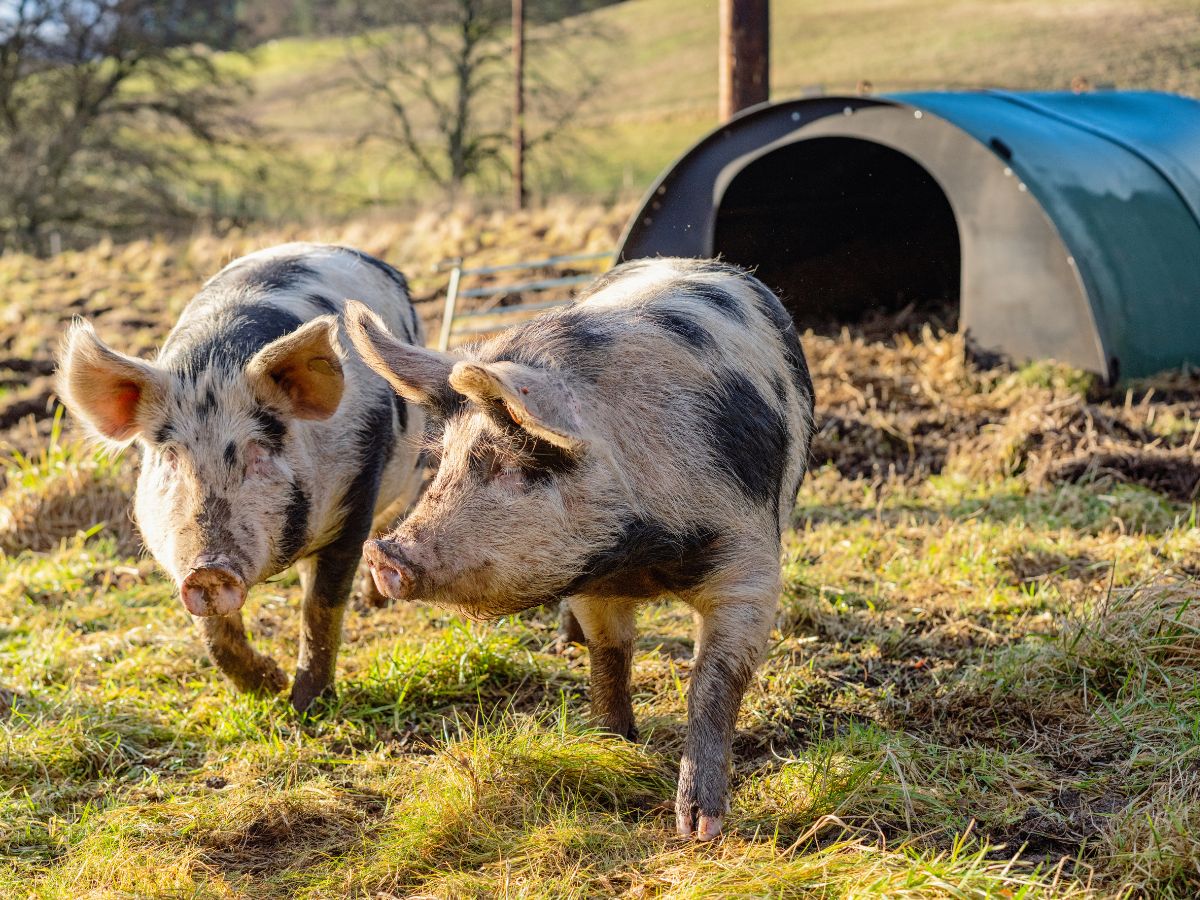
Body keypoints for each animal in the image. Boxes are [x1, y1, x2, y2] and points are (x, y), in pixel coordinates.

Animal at [60, 241, 429, 710]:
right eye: (171, 457)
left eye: (259, 450)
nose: (208, 570)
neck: (214, 368)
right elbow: (214, 632)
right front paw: (268, 686)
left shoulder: (356, 493)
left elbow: (320, 607)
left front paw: (306, 705)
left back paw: (375, 600)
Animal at [348, 256, 816, 844]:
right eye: (445, 458)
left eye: (512, 463)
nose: (381, 553)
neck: (642, 554)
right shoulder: (591, 581)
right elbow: (609, 655)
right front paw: (610, 745)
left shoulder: (748, 566)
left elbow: (714, 680)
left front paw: (698, 829)